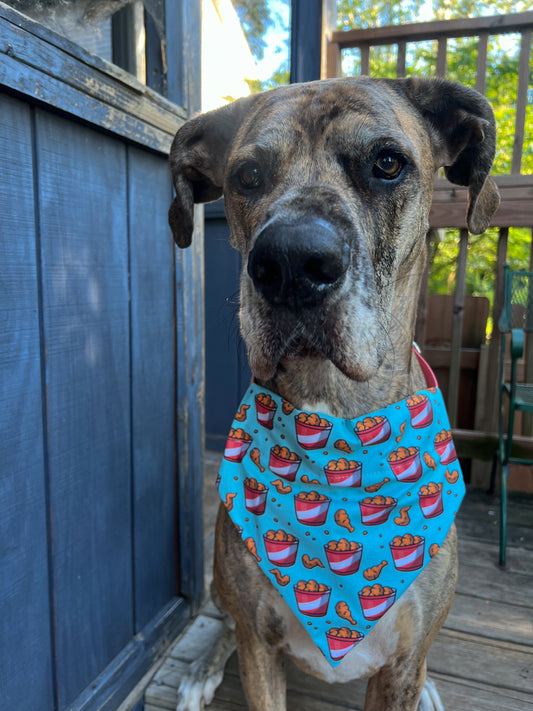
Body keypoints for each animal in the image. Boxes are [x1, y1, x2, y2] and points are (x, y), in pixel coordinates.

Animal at [167, 78, 498, 711]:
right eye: (247, 176)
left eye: (387, 164)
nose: (290, 261)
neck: (335, 423)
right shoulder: (260, 651)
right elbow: (246, 637)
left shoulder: (400, 666)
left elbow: (409, 663)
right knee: (225, 620)